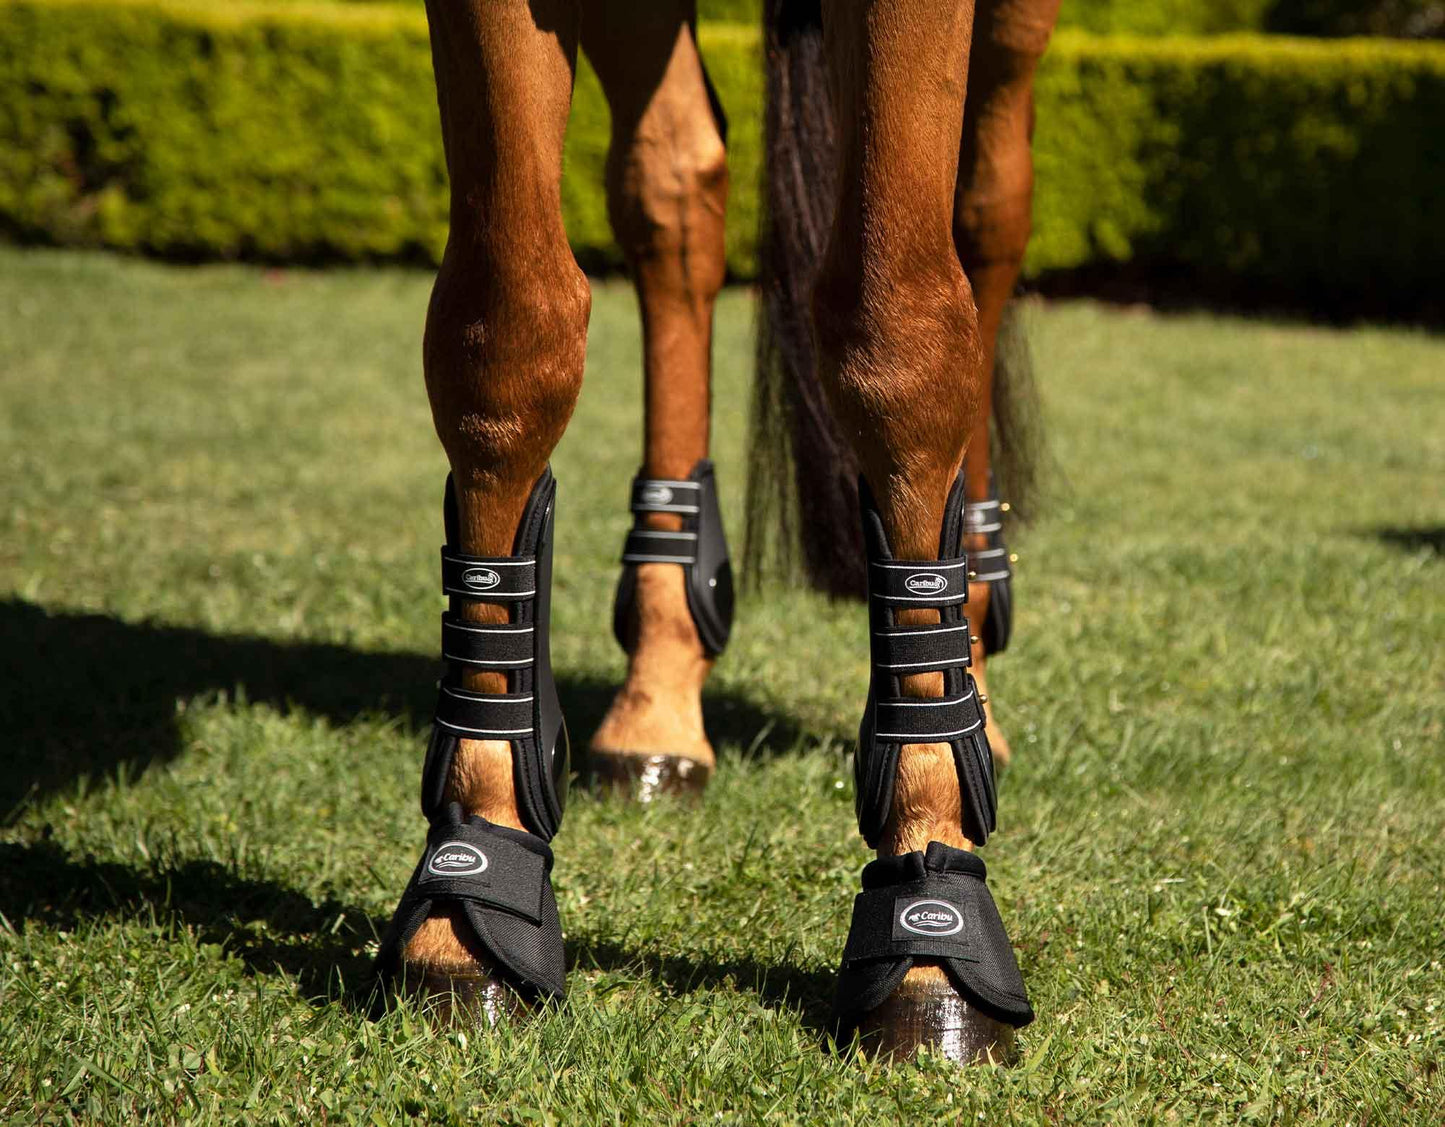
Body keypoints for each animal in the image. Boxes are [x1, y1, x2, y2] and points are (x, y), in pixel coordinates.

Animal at [375, 0, 1062, 1066]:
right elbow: (505, 331)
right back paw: (658, 693)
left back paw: (976, 643)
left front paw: (930, 925)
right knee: (673, 185)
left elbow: (899, 327)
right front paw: (467, 890)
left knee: (985, 211)